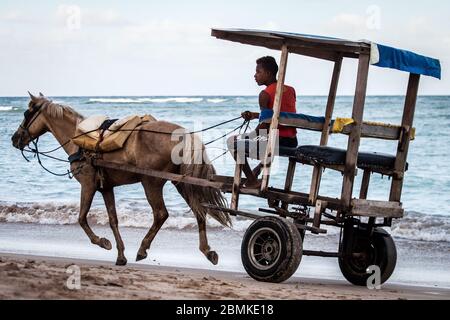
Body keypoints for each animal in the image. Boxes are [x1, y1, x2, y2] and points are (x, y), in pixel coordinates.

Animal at [11, 94, 230, 266]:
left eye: (26, 114)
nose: (14, 139)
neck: (80, 142)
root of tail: (183, 134)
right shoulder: (106, 188)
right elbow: (113, 220)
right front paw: (120, 255)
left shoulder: (88, 185)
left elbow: (81, 218)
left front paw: (102, 242)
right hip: (182, 182)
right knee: (199, 211)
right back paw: (207, 250)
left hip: (151, 182)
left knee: (161, 214)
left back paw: (143, 249)